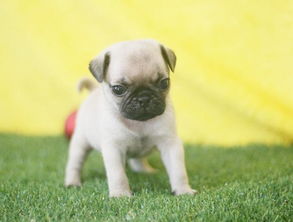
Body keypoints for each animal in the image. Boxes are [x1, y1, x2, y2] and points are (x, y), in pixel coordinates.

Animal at [65, 39, 195, 197]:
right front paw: (121, 194)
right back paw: (72, 182)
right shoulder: (114, 148)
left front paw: (183, 190)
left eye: (164, 83)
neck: (140, 123)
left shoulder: (170, 144)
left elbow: (178, 170)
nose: (144, 98)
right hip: (80, 142)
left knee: (138, 159)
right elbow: (118, 175)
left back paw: (145, 171)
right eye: (118, 89)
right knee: (75, 163)